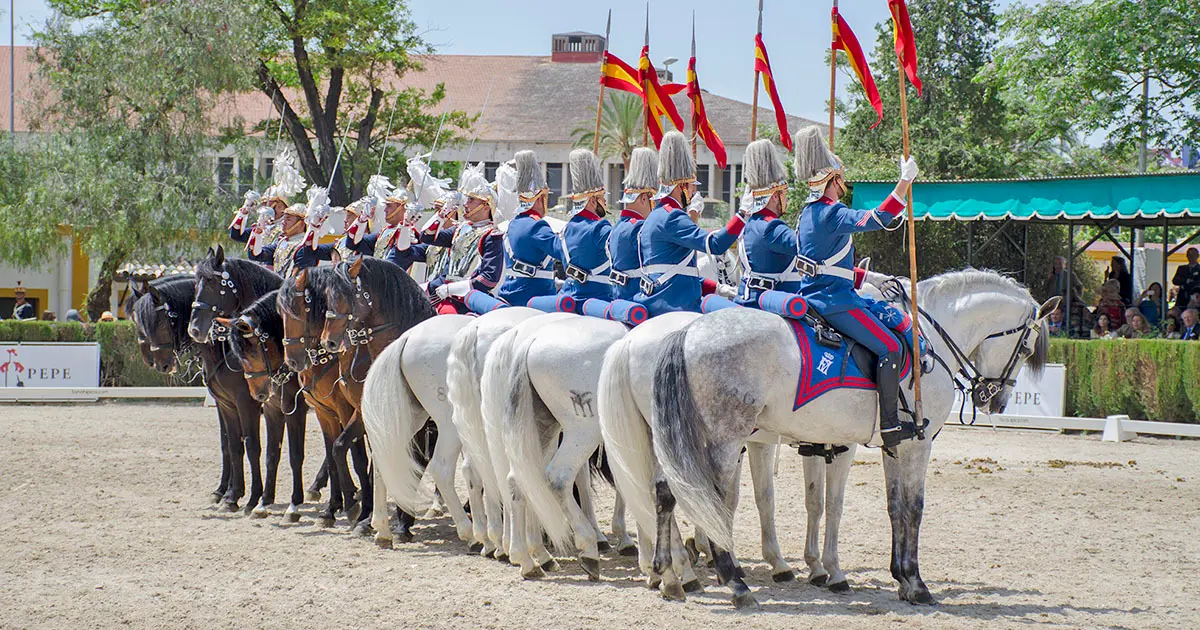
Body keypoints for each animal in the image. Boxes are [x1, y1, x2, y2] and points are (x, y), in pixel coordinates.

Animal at [127, 275, 262, 513]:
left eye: (158, 322)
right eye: (137, 323)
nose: (157, 363)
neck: (224, 347)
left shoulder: (246, 403)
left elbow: (249, 444)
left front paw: (244, 497)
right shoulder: (224, 404)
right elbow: (228, 444)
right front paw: (225, 492)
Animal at [644, 269, 1058, 608]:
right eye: (1025, 348)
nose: (995, 400)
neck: (927, 345)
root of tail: (687, 331)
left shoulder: (893, 445)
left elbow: (892, 507)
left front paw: (899, 577)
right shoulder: (916, 445)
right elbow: (911, 508)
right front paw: (916, 583)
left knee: (668, 491)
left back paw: (669, 575)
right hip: (724, 439)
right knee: (705, 499)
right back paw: (732, 584)